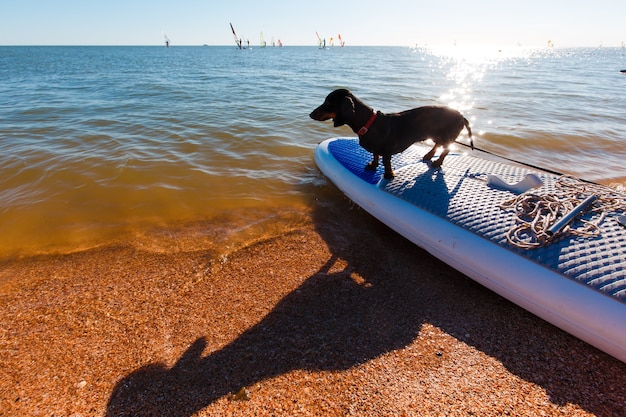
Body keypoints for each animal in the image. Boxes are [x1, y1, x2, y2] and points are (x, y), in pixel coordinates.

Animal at [310, 88, 470, 179]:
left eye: (328, 102)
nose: (310, 114)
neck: (369, 123)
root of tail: (462, 116)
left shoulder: (387, 150)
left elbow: (386, 162)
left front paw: (389, 174)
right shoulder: (377, 149)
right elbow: (375, 155)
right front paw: (373, 165)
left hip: (448, 137)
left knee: (446, 150)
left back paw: (437, 162)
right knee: (437, 146)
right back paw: (429, 155)